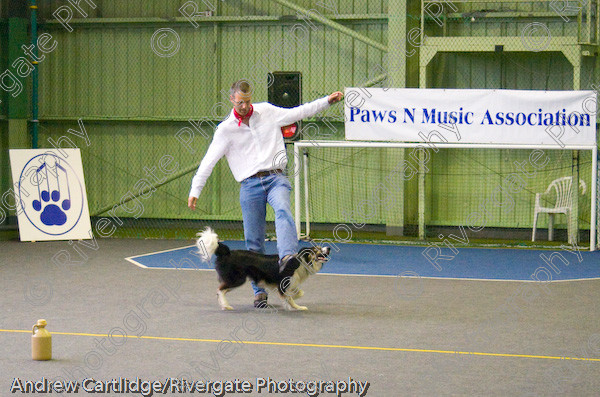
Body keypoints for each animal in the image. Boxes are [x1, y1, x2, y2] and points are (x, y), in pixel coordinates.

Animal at [196, 227, 328, 310]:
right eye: (317, 249)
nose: (329, 248)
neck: (300, 262)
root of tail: (227, 252)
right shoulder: (283, 284)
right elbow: (290, 297)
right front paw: (295, 305)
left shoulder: (289, 283)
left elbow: (297, 293)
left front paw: (296, 303)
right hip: (237, 279)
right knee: (220, 289)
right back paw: (226, 305)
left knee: (221, 290)